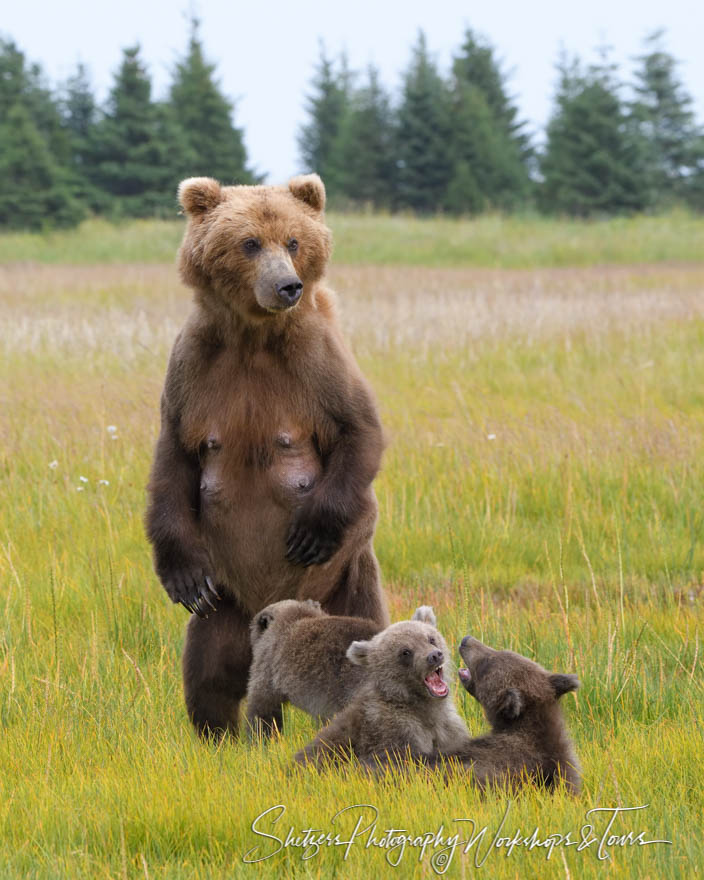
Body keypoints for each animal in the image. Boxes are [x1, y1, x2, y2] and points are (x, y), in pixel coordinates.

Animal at [145, 172, 388, 736]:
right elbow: (174, 463)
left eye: (294, 242)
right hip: (225, 608)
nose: (288, 286)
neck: (253, 337)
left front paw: (310, 531)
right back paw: (220, 735)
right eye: (250, 243)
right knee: (209, 676)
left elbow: (359, 432)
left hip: (347, 585)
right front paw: (180, 575)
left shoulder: (317, 364)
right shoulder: (194, 370)